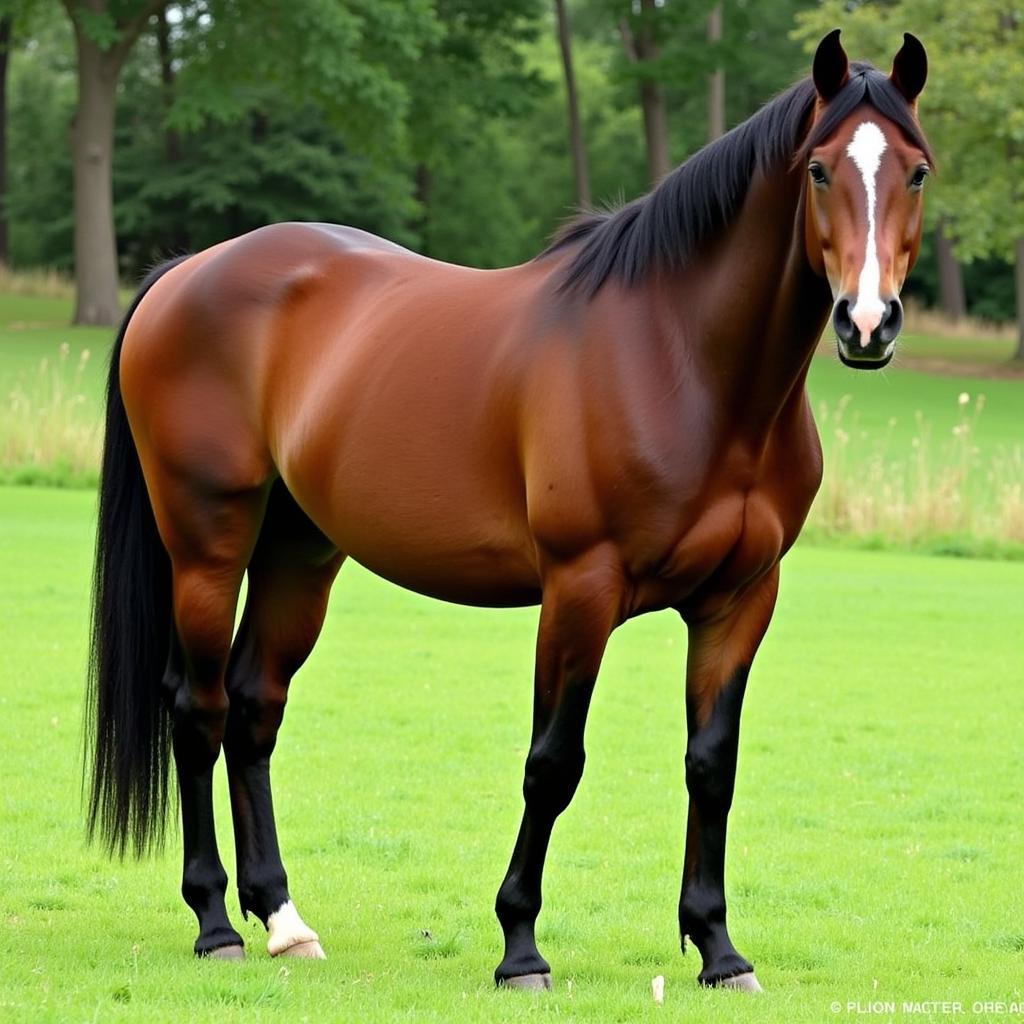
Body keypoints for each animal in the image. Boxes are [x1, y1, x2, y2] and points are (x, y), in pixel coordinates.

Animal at [86, 29, 929, 991]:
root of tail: (186, 272)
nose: (868, 323)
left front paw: (718, 948)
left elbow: (712, 767)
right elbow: (553, 766)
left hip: (300, 553)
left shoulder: (741, 599)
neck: (681, 361)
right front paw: (521, 948)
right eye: (821, 170)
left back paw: (284, 921)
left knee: (255, 706)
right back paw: (216, 923)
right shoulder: (580, 591)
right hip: (208, 545)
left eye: (918, 171)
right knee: (199, 710)